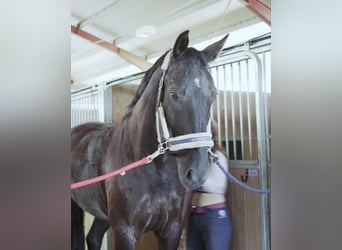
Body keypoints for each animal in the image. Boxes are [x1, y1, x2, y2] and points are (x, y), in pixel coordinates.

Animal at [71, 30, 228, 249]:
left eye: (213, 95)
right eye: (173, 94)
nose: (197, 173)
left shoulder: (171, 230)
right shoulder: (125, 232)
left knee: (93, 237)